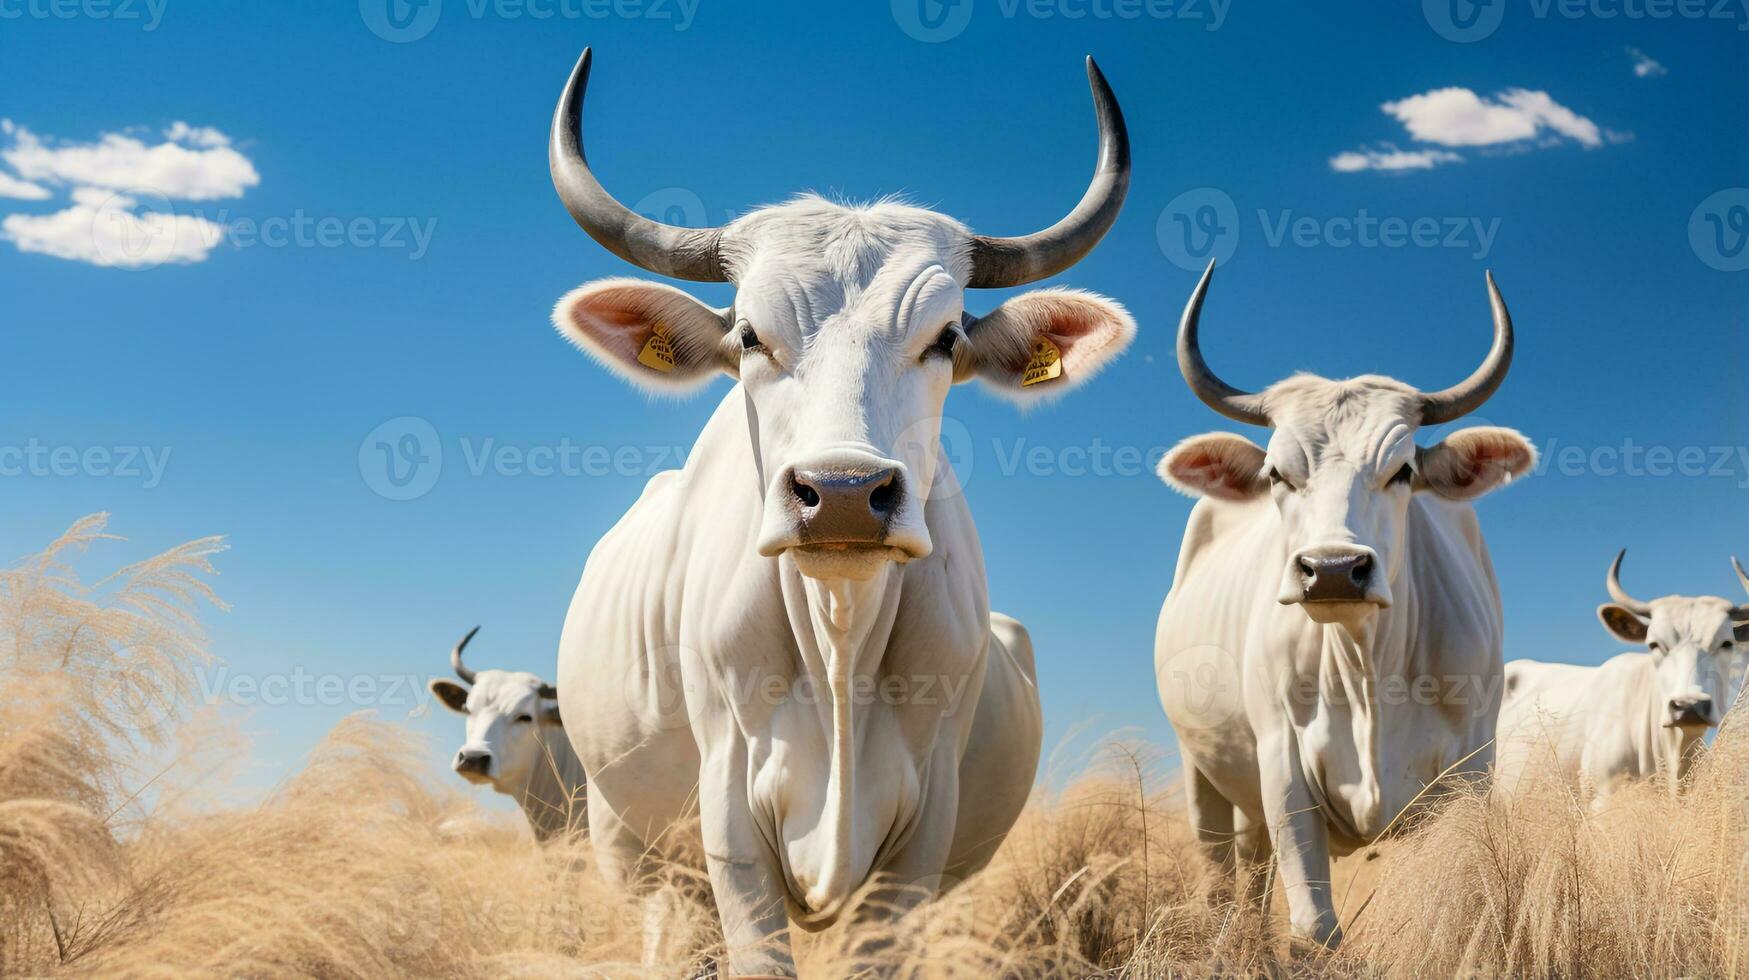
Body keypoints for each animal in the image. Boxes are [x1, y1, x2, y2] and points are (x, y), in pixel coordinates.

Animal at [542, 47, 1133, 980]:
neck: (839, 640)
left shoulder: (917, 841)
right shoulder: (729, 825)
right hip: (641, 855)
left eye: (944, 340)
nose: (844, 493)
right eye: (749, 336)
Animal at [1154, 262, 1539, 952]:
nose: (1333, 569)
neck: (1367, 669)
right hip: (1201, 770)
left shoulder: (1470, 775)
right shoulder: (1282, 765)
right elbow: (1314, 930)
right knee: (1223, 878)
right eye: (1276, 474)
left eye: (1404, 470)